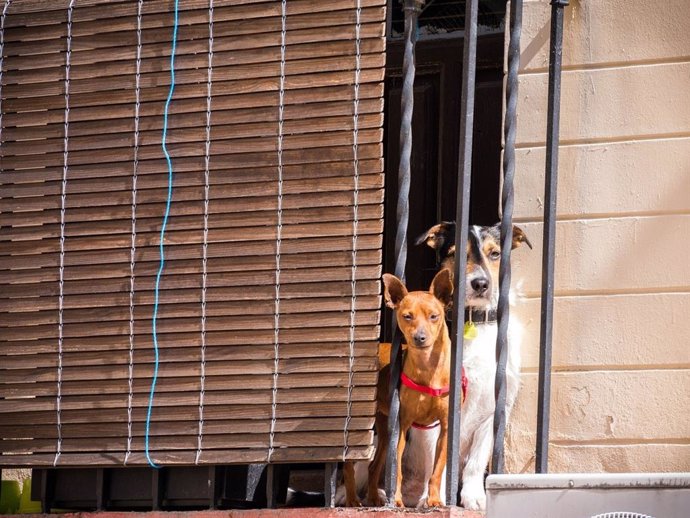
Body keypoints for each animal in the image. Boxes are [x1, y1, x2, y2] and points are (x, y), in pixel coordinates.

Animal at [414, 221, 532, 510]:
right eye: (456, 253)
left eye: (495, 254)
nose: (481, 283)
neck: (471, 323)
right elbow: (436, 462)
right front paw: (433, 498)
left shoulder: (494, 411)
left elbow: (476, 462)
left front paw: (474, 497)